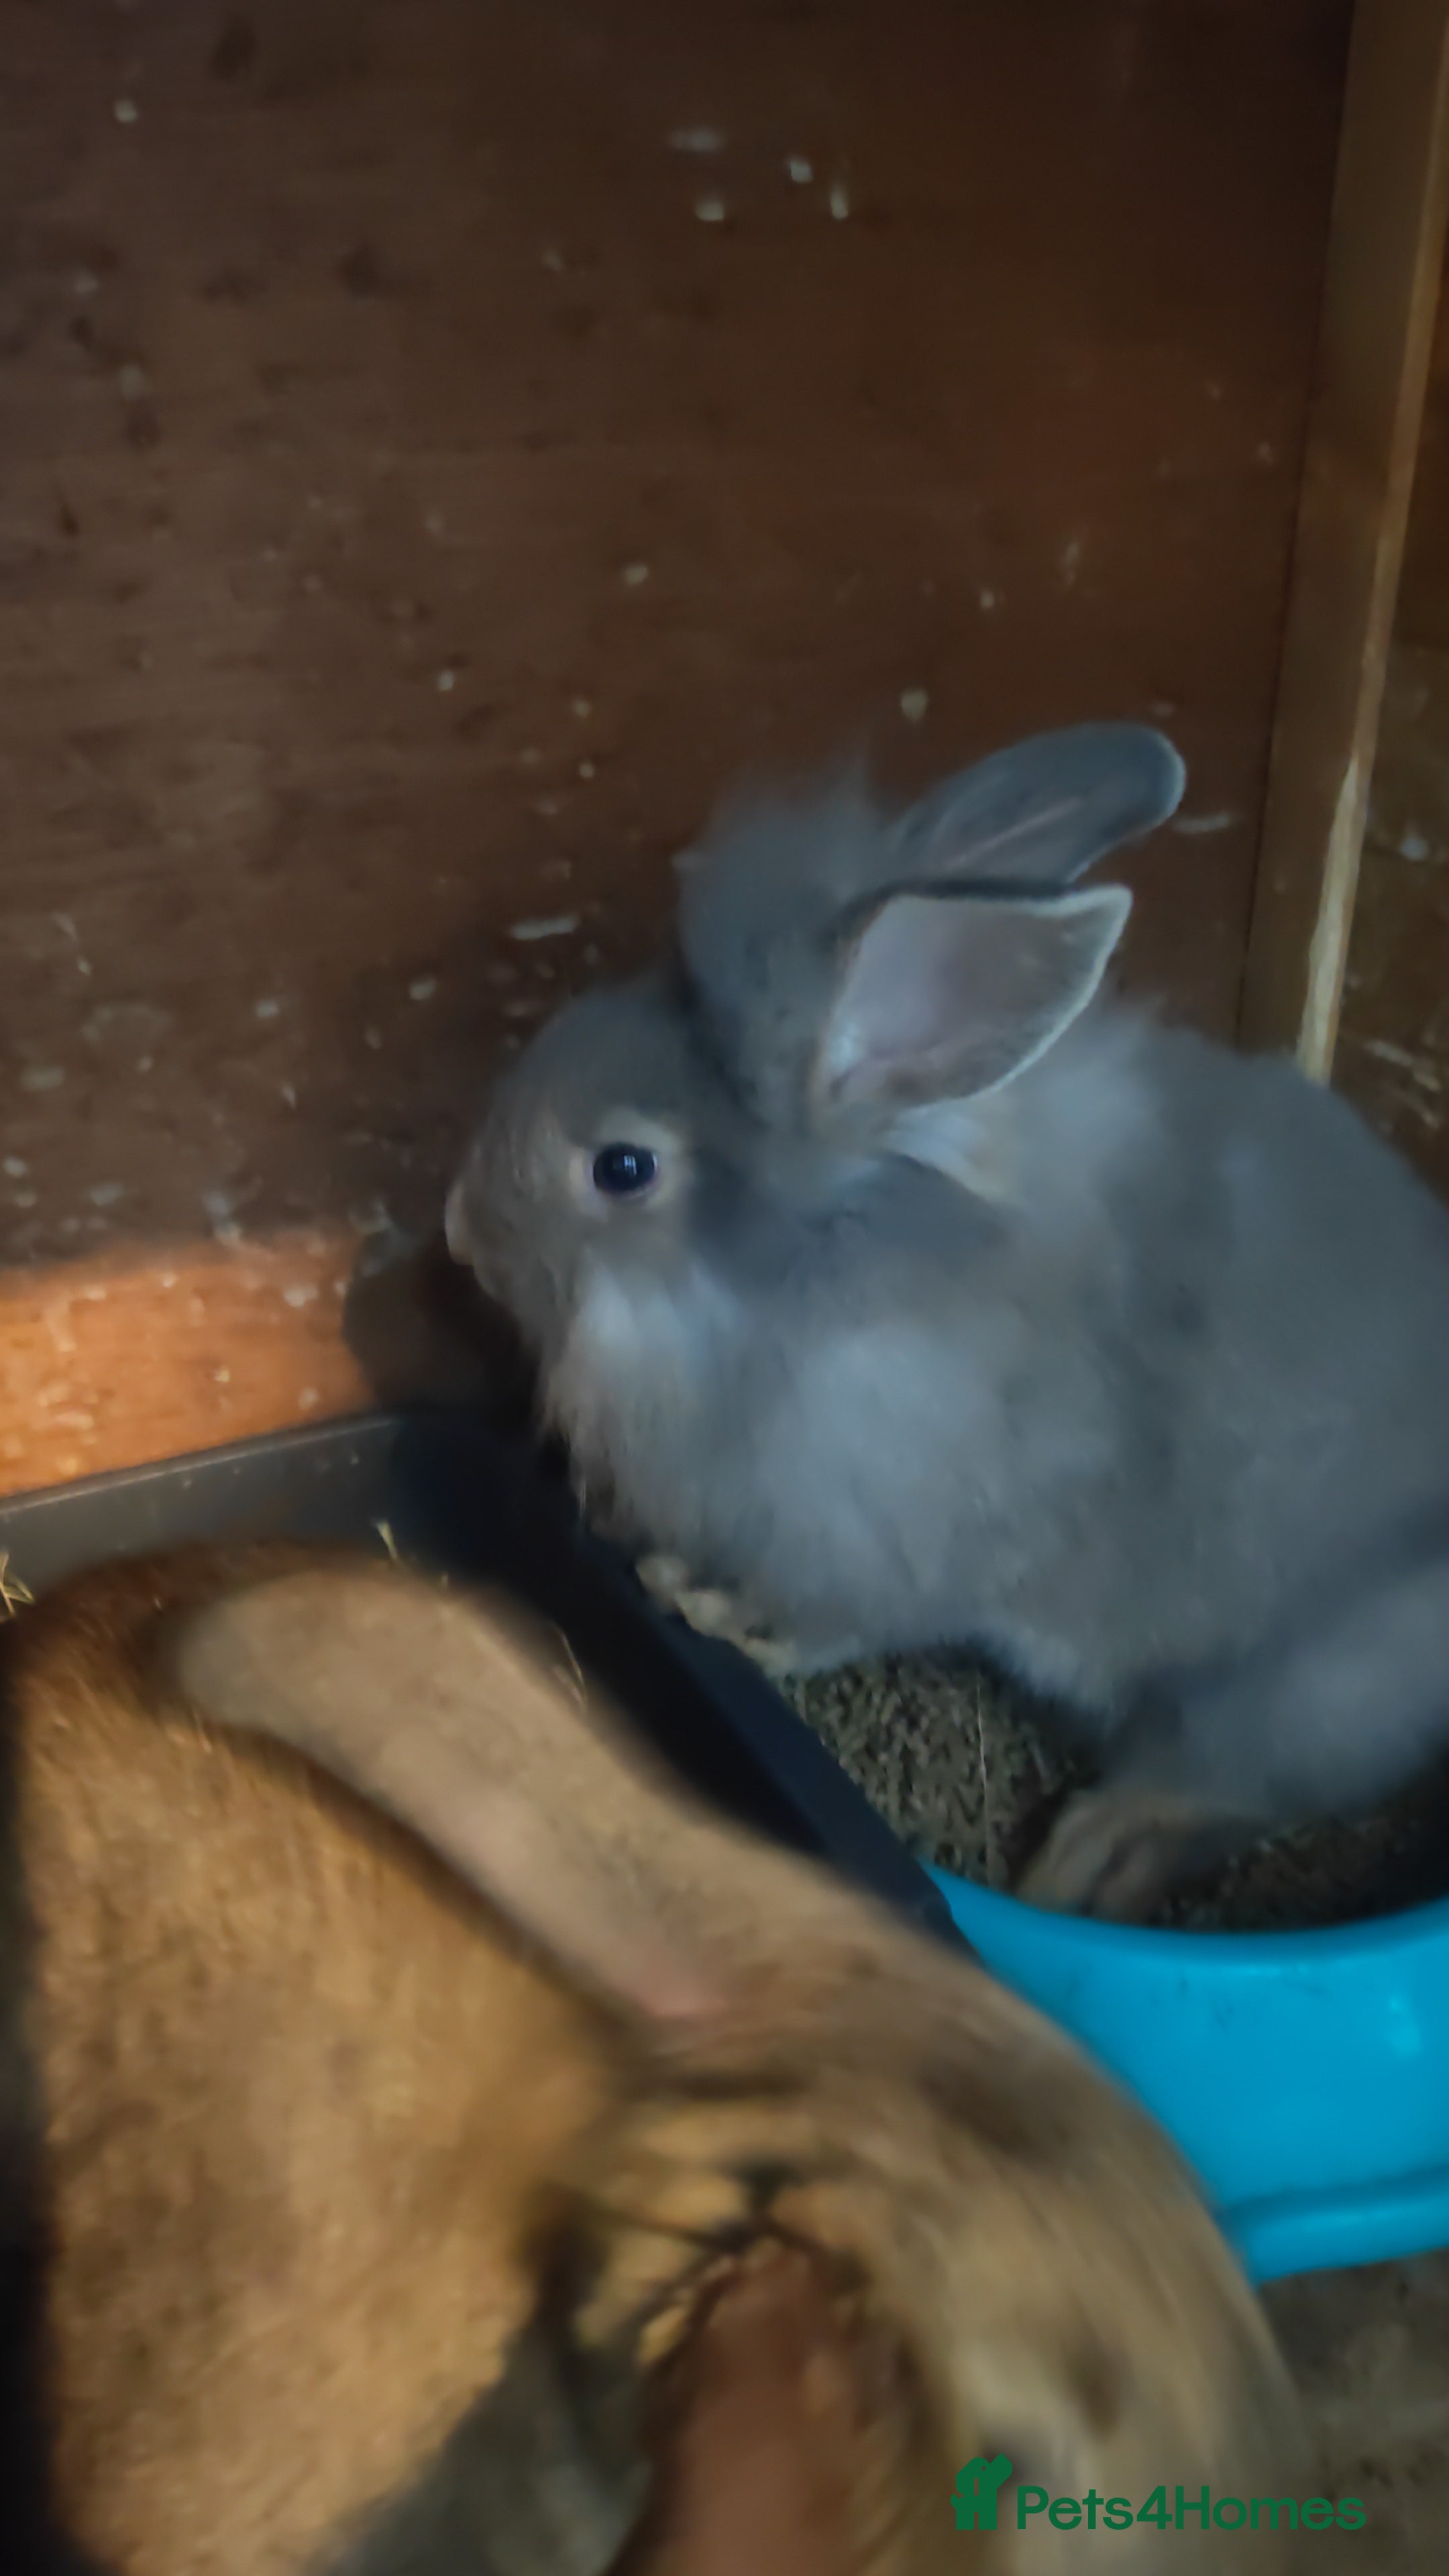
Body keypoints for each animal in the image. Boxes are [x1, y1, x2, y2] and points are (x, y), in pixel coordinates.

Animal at [443, 721, 1449, 1920]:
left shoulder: (888, 1541)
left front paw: (716, 1613)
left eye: (623, 1168)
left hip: (1305, 1688)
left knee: (1221, 1788)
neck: (794, 1283)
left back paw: (1087, 1861)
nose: (455, 1229)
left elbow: (837, 1621)